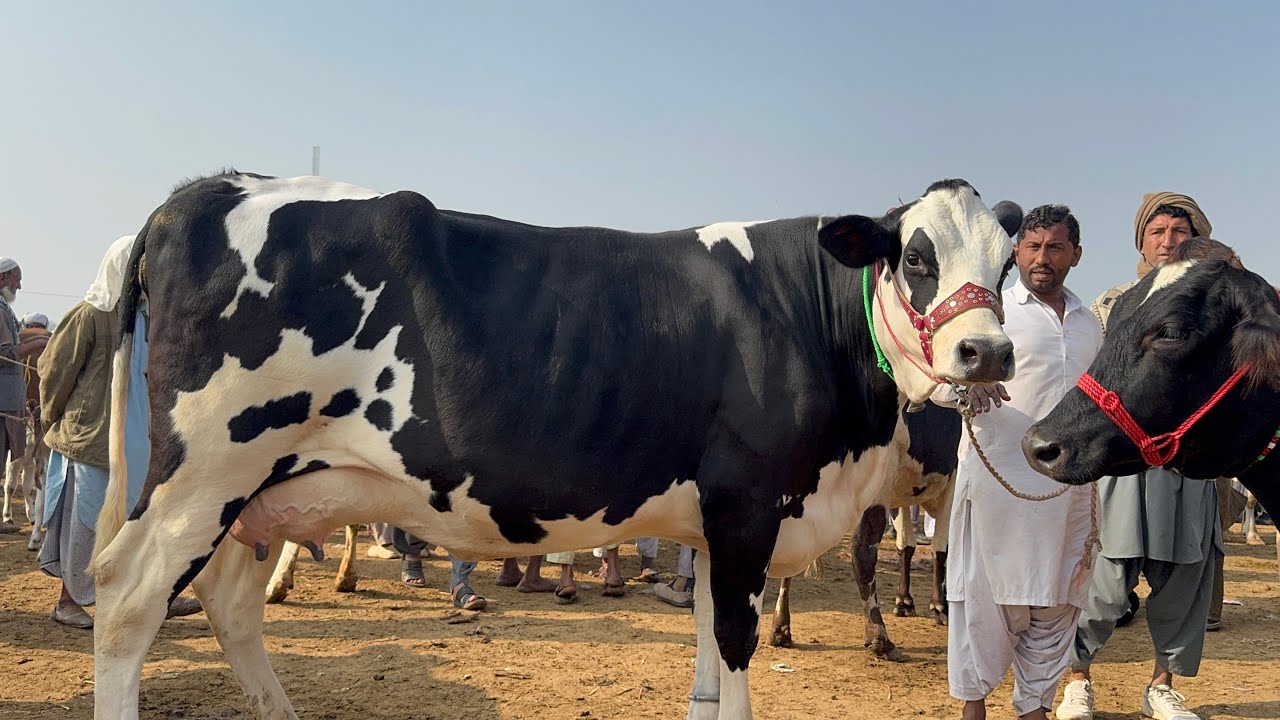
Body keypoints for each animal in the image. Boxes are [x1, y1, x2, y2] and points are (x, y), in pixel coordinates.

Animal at [769, 399, 961, 660]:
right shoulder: (954, 478)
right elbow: (941, 548)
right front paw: (939, 606)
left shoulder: (903, 494)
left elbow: (906, 546)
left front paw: (904, 601)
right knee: (862, 550)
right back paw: (880, 637)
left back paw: (781, 627)